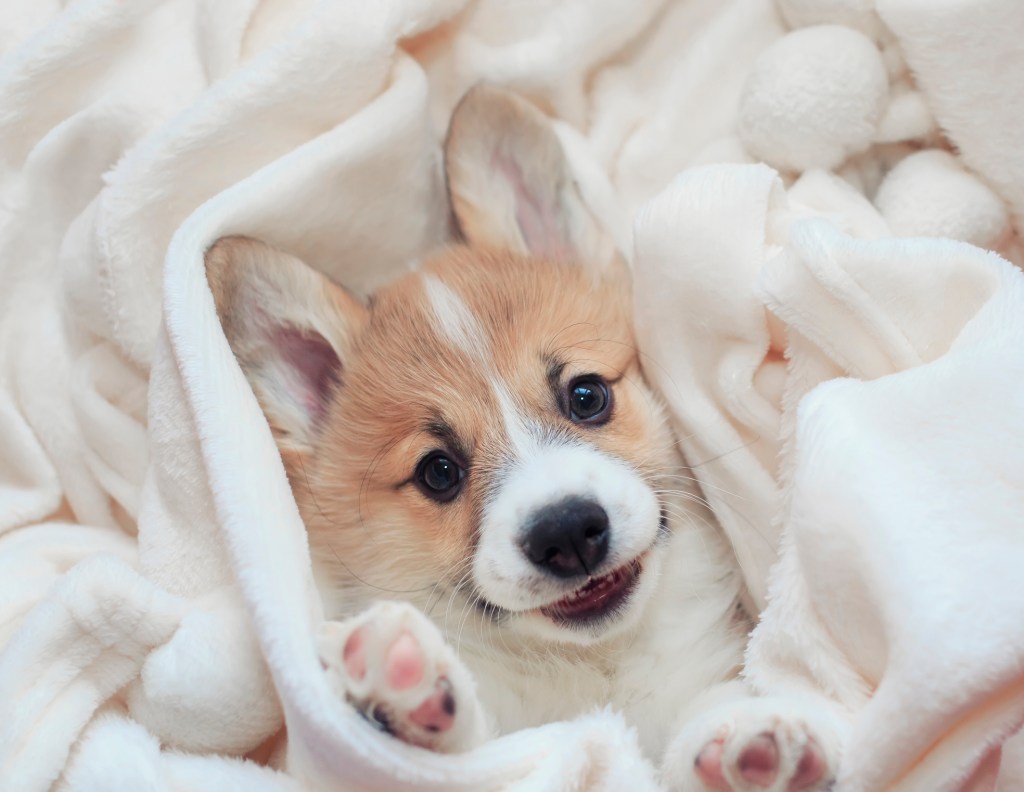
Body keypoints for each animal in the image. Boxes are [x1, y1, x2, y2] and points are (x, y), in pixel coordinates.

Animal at [205, 83, 839, 786]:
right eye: (438, 472)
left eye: (587, 396)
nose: (567, 532)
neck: (594, 670)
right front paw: (396, 699)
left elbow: (705, 715)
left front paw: (749, 742)